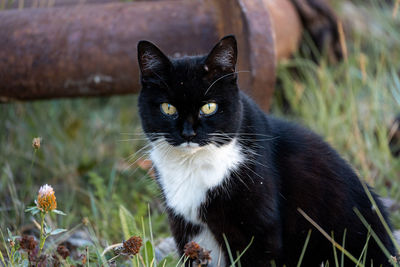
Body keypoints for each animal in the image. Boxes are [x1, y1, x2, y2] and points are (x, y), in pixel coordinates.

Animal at [136, 35, 396, 266]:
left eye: (209, 107)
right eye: (168, 108)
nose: (188, 133)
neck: (193, 165)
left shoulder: (258, 231)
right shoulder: (186, 228)